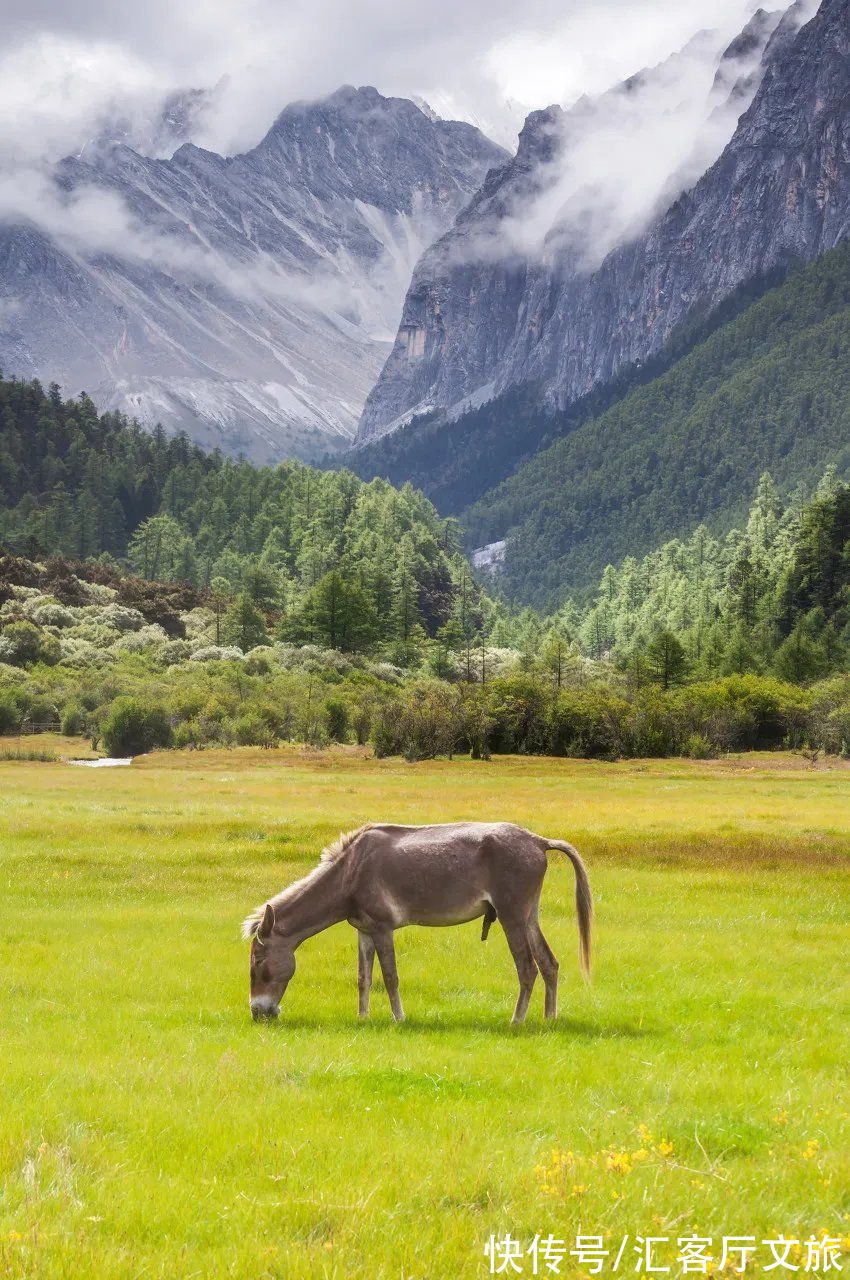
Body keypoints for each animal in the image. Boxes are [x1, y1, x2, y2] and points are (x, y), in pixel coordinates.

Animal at [241, 824, 593, 1024]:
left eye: (257, 963)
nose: (257, 1012)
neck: (350, 872)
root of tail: (537, 841)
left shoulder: (382, 928)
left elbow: (390, 977)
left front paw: (398, 1018)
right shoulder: (364, 931)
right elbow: (363, 978)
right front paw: (363, 1017)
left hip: (512, 918)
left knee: (527, 968)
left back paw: (517, 1020)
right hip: (529, 917)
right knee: (549, 964)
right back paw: (549, 1018)